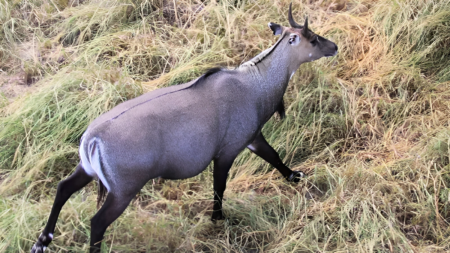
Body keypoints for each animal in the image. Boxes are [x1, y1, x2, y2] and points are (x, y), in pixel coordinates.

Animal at [31, 4, 338, 253]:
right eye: (313, 38)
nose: (334, 47)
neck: (254, 83)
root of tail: (91, 139)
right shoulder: (227, 152)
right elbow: (219, 186)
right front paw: (217, 218)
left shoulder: (253, 138)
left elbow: (274, 156)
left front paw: (295, 176)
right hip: (123, 191)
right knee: (97, 222)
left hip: (87, 170)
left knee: (63, 187)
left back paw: (42, 241)